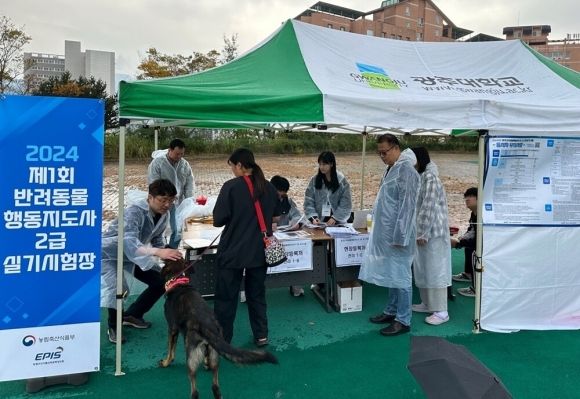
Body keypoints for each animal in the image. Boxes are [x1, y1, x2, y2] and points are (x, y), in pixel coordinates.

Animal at [157, 258, 278, 398]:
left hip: (191, 361)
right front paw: (206, 363)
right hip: (215, 358)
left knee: (195, 391)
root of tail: (208, 326)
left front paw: (166, 363)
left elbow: (170, 351)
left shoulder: (172, 329)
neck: (178, 280)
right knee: (215, 387)